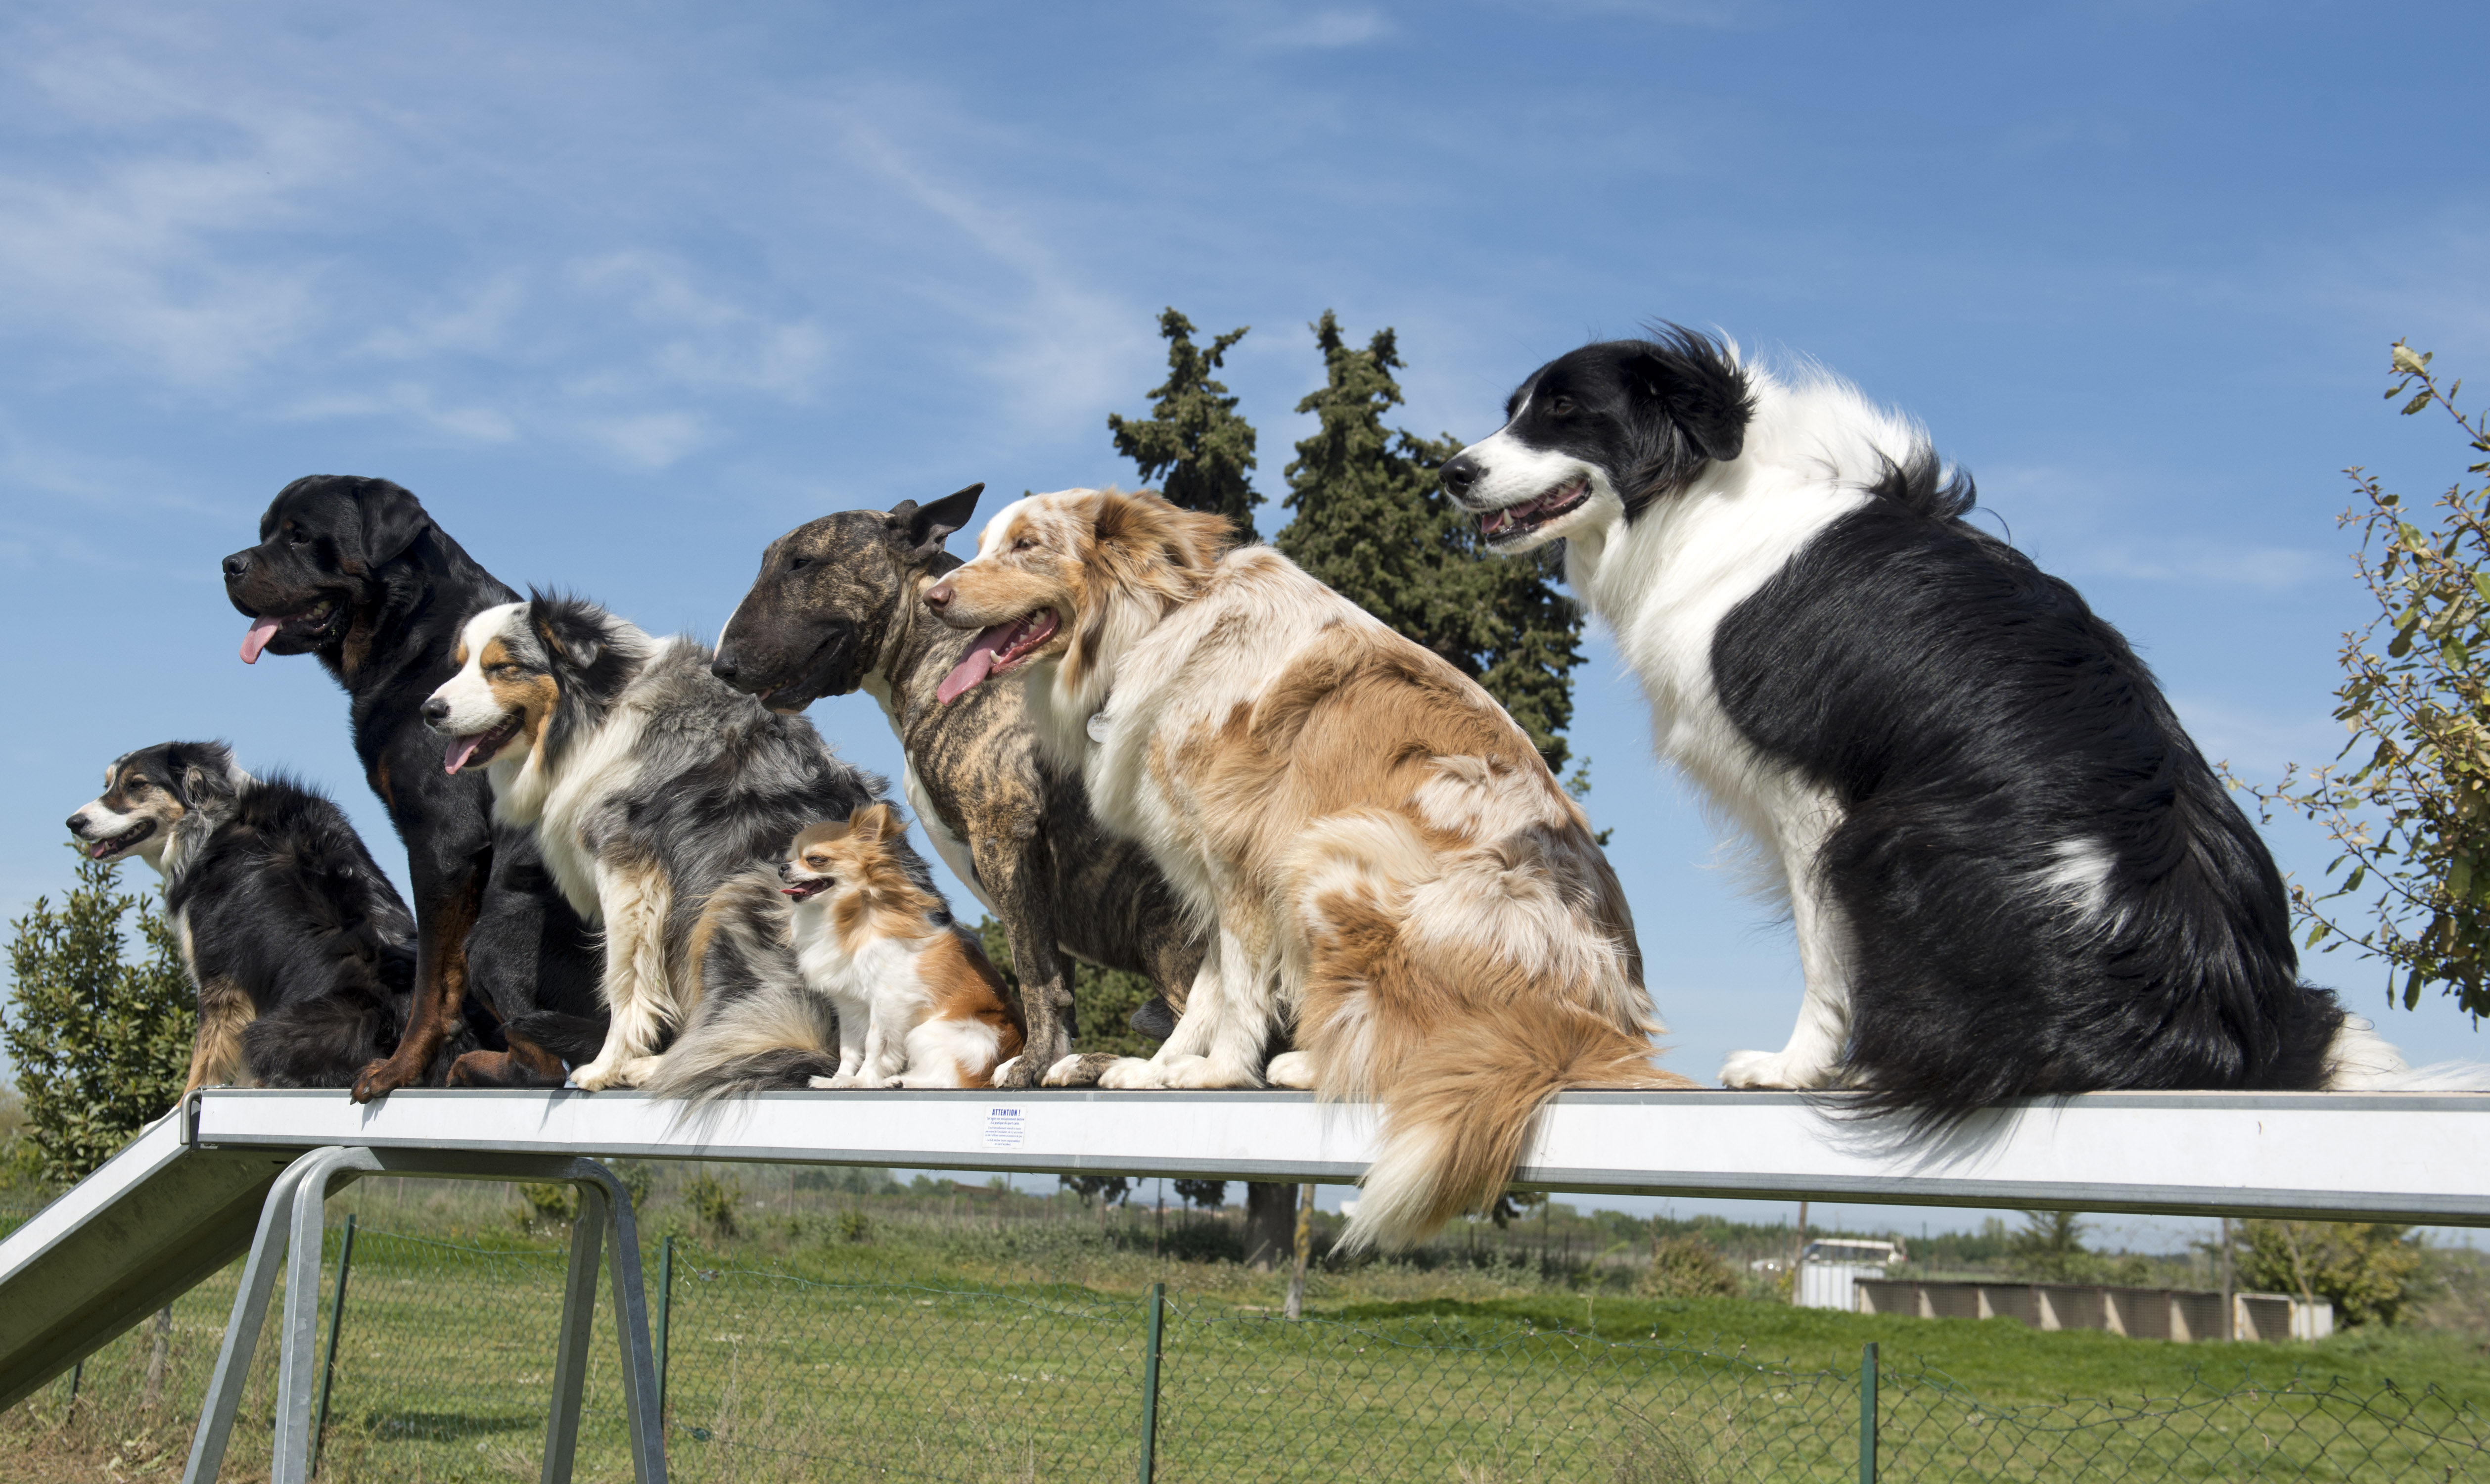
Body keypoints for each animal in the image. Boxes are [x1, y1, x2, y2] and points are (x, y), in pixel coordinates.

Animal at [71, 742, 475, 1090]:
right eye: (108, 785)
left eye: (137, 785)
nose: (73, 823)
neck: (212, 820)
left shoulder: (221, 978)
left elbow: (202, 1063)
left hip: (279, 1029)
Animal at [223, 478, 602, 1100]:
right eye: (263, 533)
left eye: (300, 536)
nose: (229, 564)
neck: (413, 634)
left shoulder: (443, 840)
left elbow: (431, 981)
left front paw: (398, 1070)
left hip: (502, 923)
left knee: (544, 1062)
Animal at [712, 488, 1205, 1090]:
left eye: (802, 562)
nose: (722, 667)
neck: (941, 654)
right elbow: (1053, 975)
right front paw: (1042, 1058)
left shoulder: (1004, 833)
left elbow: (1036, 975)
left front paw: (1031, 1065)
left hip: (1164, 930)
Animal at [926, 490, 1683, 1250]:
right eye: (983, 544)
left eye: (1027, 545)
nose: (932, 597)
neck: (1160, 620)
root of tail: (1584, 1027)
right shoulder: (1212, 875)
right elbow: (1211, 988)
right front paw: (1160, 1068)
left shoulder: (1243, 861)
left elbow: (1239, 993)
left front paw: (1220, 1075)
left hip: (1334, 850)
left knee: (1409, 1048)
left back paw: (1303, 1064)